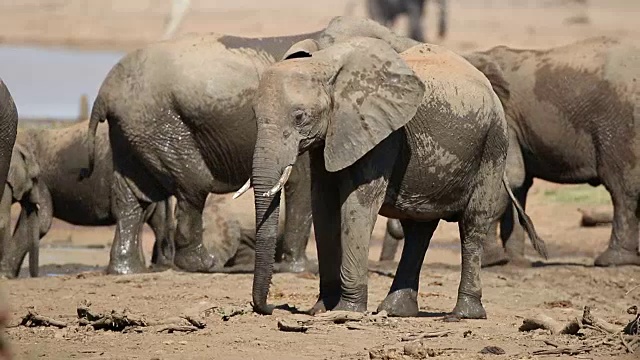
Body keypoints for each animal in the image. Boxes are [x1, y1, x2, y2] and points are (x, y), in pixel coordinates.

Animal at [82, 15, 422, 276]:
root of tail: (104, 93)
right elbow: (303, 184)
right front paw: (300, 270)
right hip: (160, 123)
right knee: (193, 186)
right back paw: (203, 265)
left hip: (132, 129)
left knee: (131, 195)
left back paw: (127, 271)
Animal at [242, 35, 548, 318]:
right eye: (254, 115)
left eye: (300, 117)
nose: (271, 307)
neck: (326, 63)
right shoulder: (332, 135)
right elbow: (323, 206)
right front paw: (321, 309)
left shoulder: (382, 134)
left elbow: (357, 205)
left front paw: (347, 311)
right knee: (419, 229)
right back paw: (396, 310)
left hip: (494, 142)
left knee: (472, 223)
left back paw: (462, 315)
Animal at [460, 37, 640, 268]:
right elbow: (518, 183)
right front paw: (514, 262)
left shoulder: (504, 116)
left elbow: (508, 175)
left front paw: (492, 263)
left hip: (621, 127)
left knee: (621, 188)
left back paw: (611, 262)